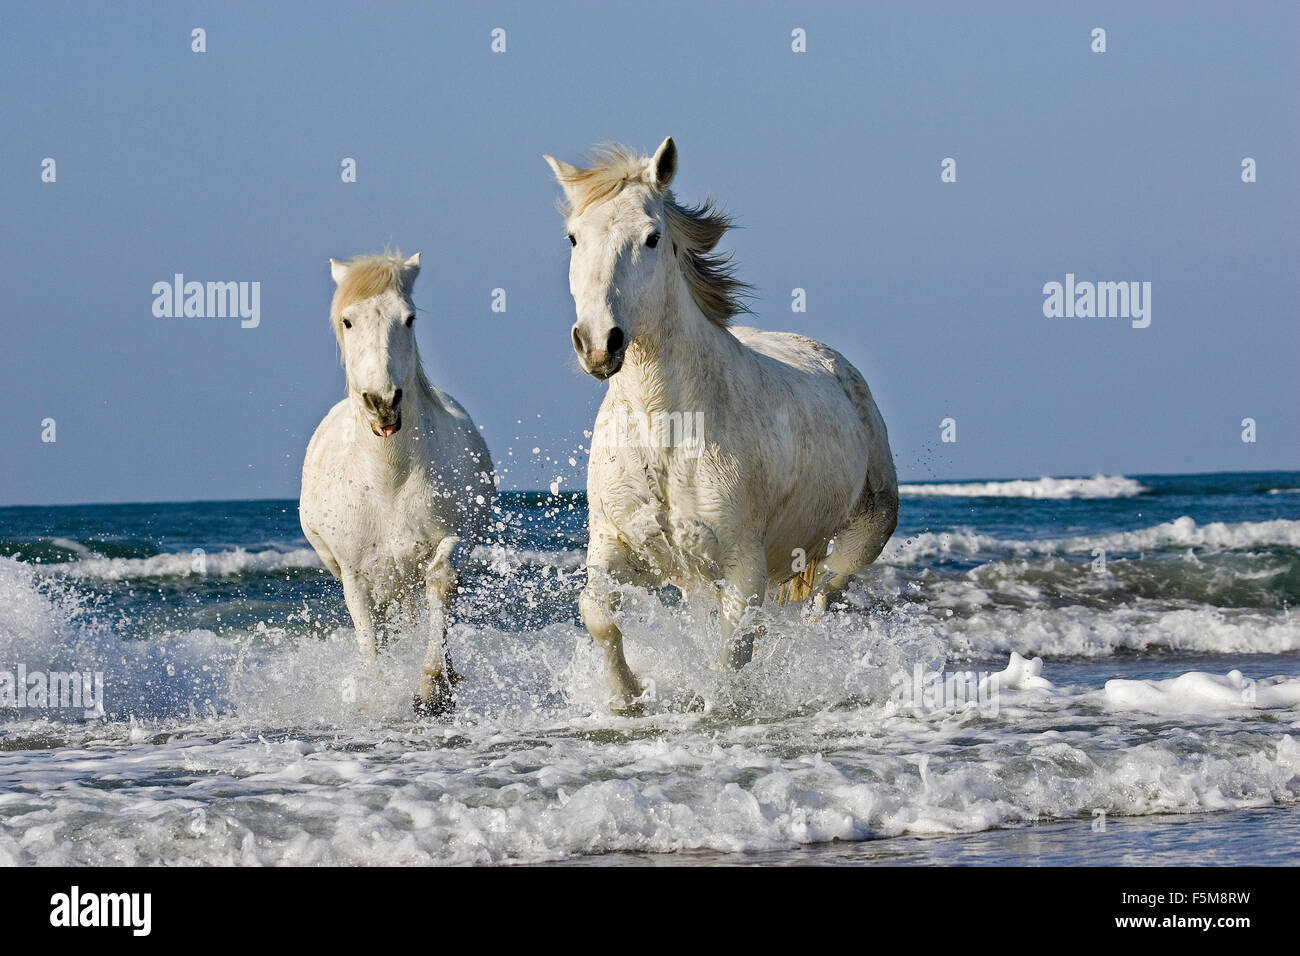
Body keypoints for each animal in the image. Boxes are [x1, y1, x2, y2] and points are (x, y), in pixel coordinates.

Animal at [299, 251, 495, 716]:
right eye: (348, 321)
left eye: (408, 319)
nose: (383, 402)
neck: (389, 479)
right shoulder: (353, 573)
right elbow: (369, 634)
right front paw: (377, 692)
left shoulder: (454, 536)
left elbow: (442, 581)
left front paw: (433, 688)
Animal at [544, 138, 898, 713]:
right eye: (574, 236)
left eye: (652, 237)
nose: (599, 343)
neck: (667, 433)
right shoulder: (617, 546)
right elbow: (596, 612)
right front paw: (630, 697)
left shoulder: (742, 565)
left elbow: (733, 653)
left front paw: (720, 707)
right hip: (697, 577)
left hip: (862, 537)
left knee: (824, 597)